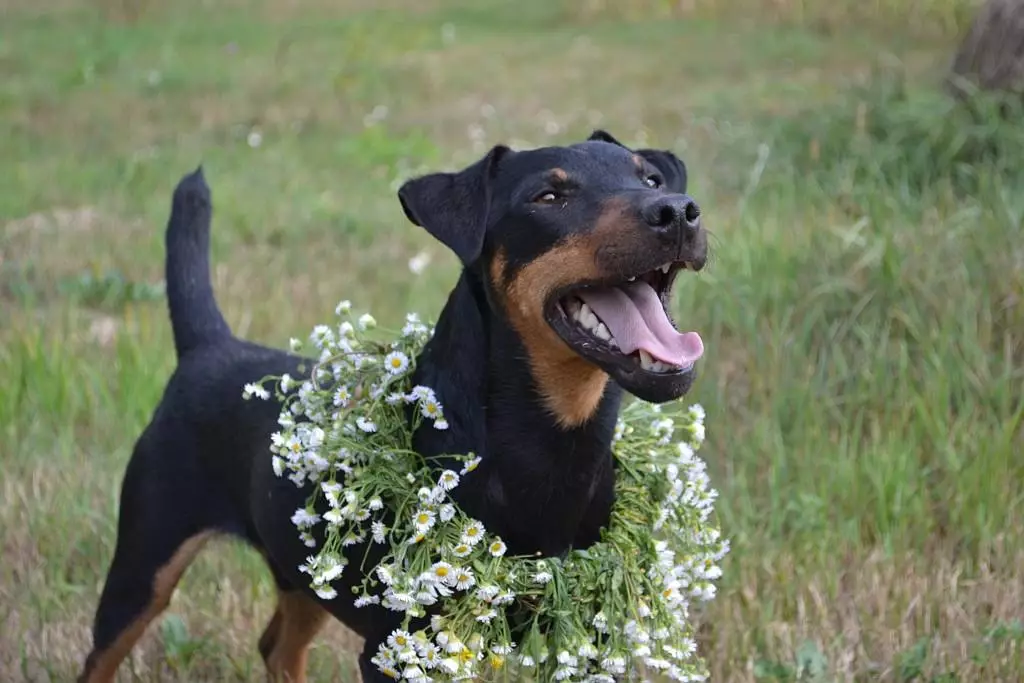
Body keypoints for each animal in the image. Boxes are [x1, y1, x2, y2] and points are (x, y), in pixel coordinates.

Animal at [77, 129, 704, 683]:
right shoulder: (399, 654)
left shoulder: (592, 640)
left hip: (302, 572)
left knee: (277, 648)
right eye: (549, 197)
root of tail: (209, 345)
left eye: (649, 177)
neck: (554, 442)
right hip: (145, 561)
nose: (678, 211)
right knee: (101, 660)